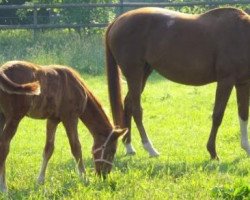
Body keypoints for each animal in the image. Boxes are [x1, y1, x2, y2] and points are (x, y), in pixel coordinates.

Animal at [0, 60, 127, 192]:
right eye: (112, 151)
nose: (104, 175)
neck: (76, 86)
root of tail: (2, 71)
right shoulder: (70, 118)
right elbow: (76, 147)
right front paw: (84, 178)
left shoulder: (53, 120)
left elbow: (48, 149)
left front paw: (40, 181)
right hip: (14, 118)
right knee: (4, 145)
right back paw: (4, 187)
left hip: (2, 116)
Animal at [105, 7, 250, 159]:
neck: (242, 34)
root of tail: (117, 21)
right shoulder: (226, 81)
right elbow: (217, 115)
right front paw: (212, 152)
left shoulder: (243, 83)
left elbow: (244, 115)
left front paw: (247, 148)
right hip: (134, 74)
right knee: (136, 110)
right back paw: (150, 149)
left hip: (144, 73)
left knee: (128, 105)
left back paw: (129, 146)